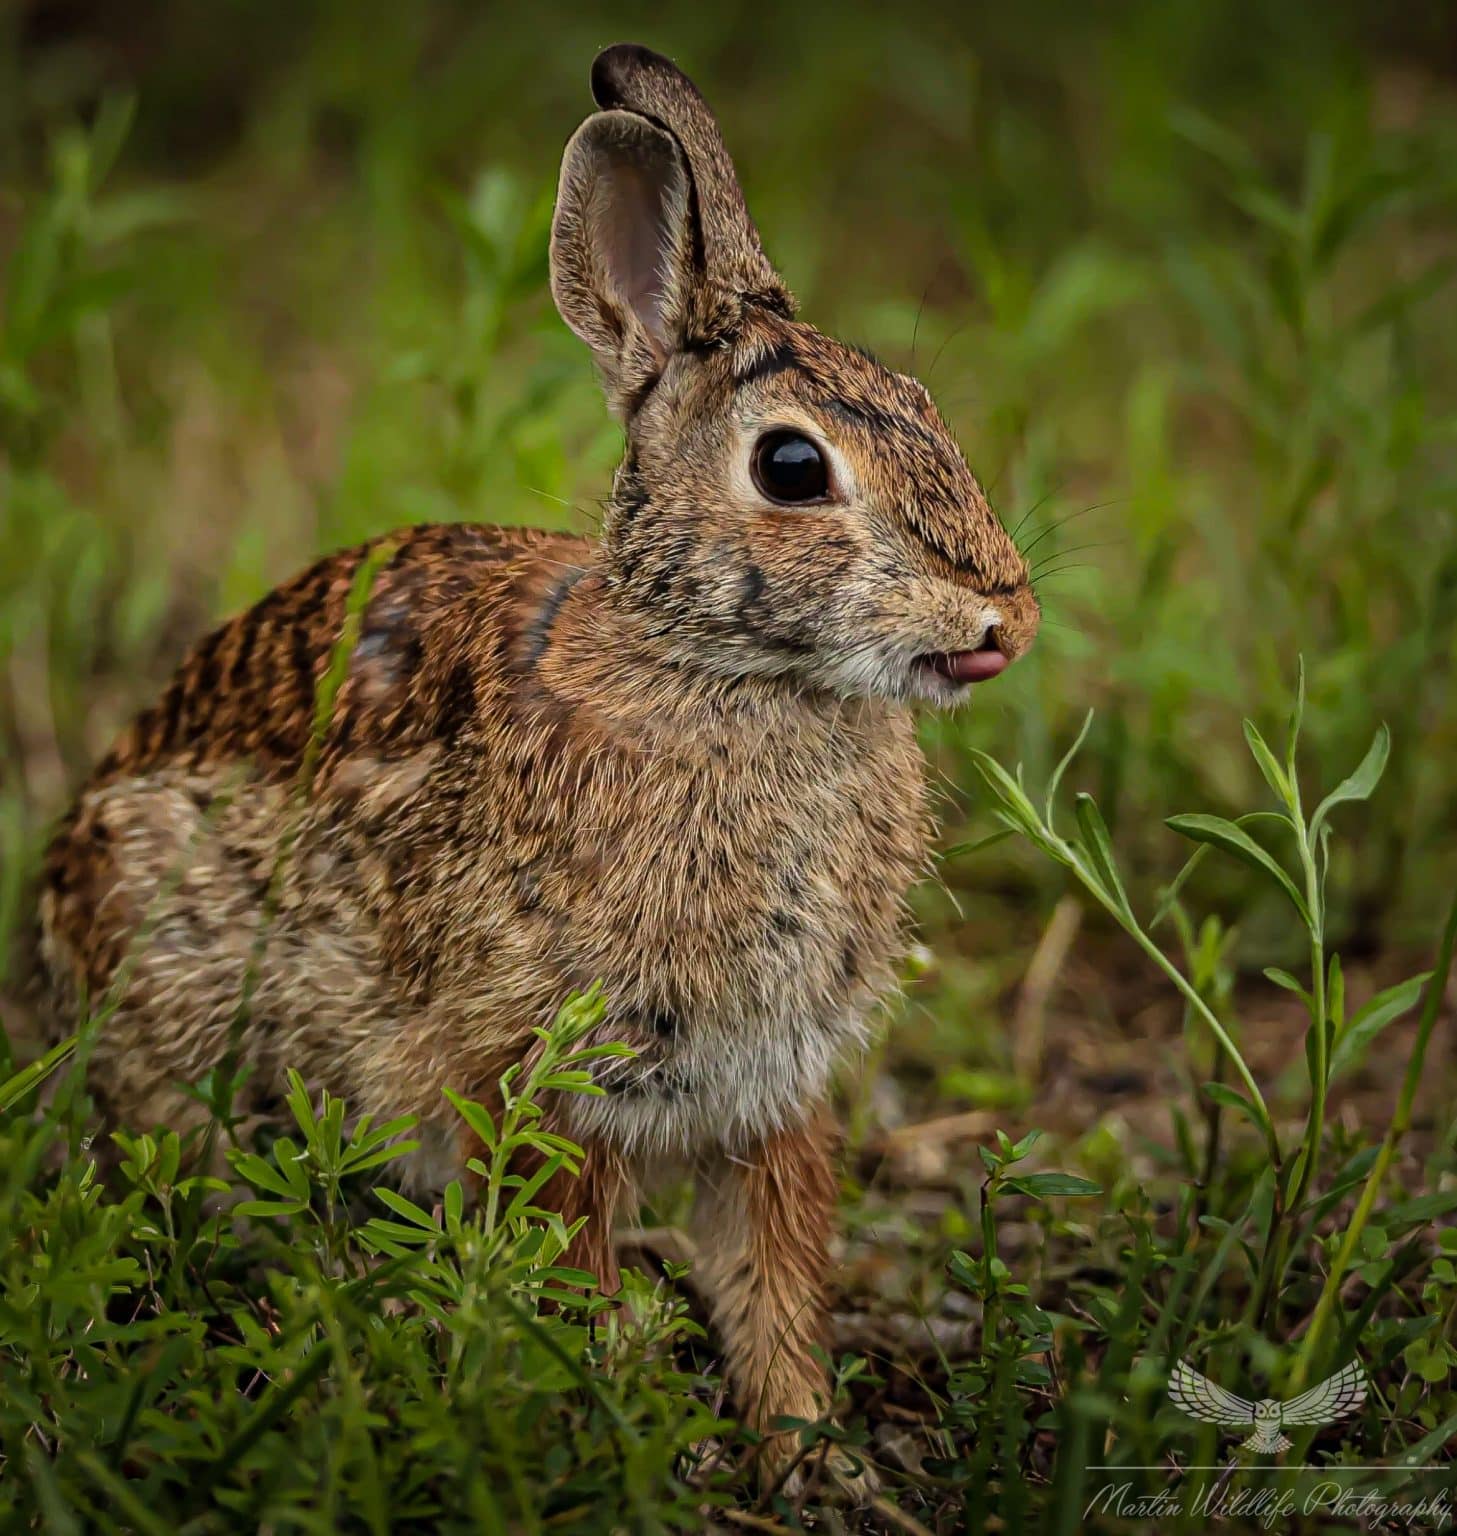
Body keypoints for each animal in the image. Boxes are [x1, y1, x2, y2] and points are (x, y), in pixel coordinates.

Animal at [34, 42, 1031, 1492]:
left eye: (927, 409)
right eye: (793, 467)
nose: (1004, 615)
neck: (727, 673)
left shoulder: (771, 1090)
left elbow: (774, 1280)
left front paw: (805, 1449)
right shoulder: (536, 1070)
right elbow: (574, 1262)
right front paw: (620, 1419)